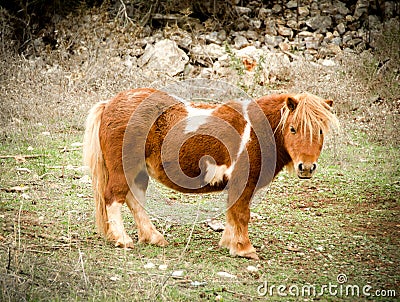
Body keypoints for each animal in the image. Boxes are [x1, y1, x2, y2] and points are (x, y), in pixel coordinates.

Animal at [83, 87, 338, 260]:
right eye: (293, 129)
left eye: (321, 131)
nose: (306, 167)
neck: (255, 131)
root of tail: (110, 103)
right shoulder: (243, 183)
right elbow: (242, 214)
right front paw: (245, 249)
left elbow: (233, 214)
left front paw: (229, 244)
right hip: (122, 170)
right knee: (113, 198)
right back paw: (123, 240)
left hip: (138, 173)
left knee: (134, 200)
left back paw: (153, 238)